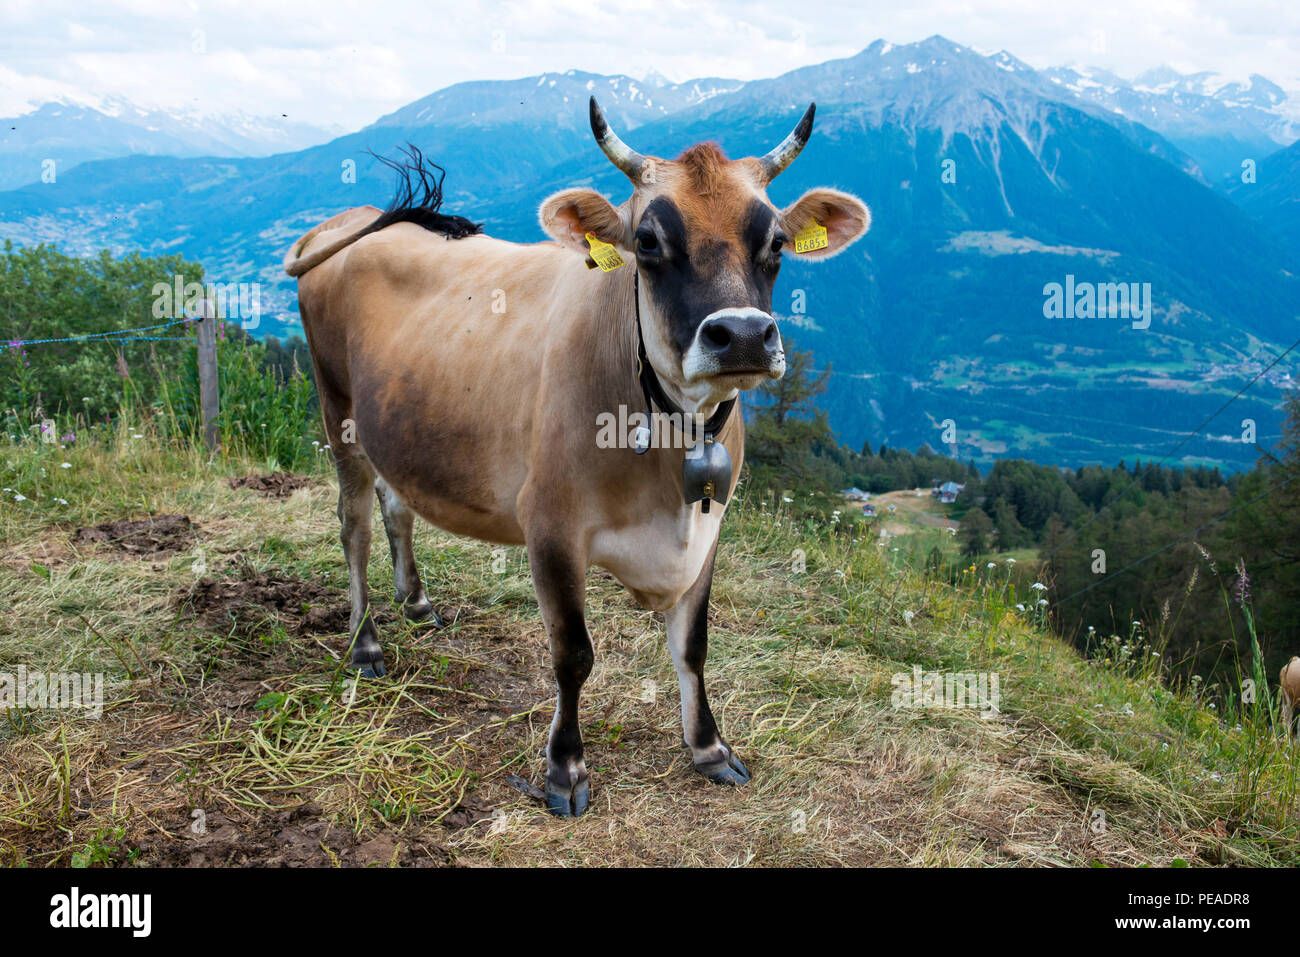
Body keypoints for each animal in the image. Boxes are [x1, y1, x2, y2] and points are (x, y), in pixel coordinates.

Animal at [286, 97, 873, 816]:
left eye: (778, 244)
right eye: (647, 242)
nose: (741, 335)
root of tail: (351, 218)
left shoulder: (711, 527)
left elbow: (694, 646)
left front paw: (709, 746)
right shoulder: (551, 525)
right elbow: (573, 653)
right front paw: (564, 767)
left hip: (396, 423)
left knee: (397, 506)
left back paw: (418, 603)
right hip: (335, 403)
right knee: (354, 524)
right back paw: (365, 639)